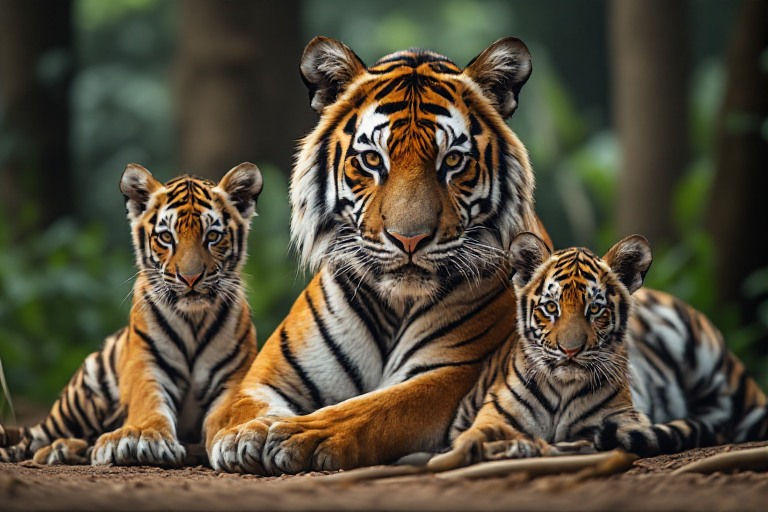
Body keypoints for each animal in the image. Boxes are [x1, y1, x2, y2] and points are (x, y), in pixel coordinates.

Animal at [0, 163, 262, 466]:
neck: (193, 320)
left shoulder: (233, 376)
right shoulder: (145, 363)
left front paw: (234, 437)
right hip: (81, 395)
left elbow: (229, 412)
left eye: (213, 236)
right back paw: (55, 449)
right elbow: (148, 401)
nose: (190, 278)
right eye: (166, 237)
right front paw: (141, 437)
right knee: (34, 437)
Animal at [204, 36, 552, 474]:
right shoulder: (265, 377)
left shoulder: (453, 372)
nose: (409, 239)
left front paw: (299, 435)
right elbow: (243, 406)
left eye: (453, 161)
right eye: (372, 160)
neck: (396, 304)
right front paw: (243, 435)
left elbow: (375, 409)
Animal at [431, 233, 768, 469]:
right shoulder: (493, 417)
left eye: (595, 309)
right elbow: (473, 437)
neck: (561, 388)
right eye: (551, 308)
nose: (570, 350)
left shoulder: (627, 420)